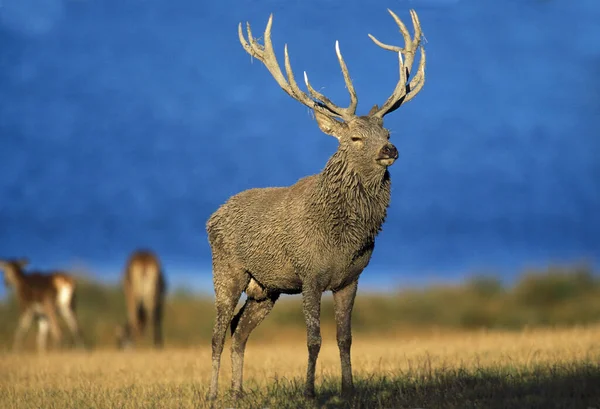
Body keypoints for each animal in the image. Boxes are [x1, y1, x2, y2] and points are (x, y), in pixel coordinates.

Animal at [206, 8, 426, 398]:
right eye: (355, 137)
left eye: (386, 132)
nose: (390, 149)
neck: (342, 236)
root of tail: (211, 217)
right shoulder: (309, 275)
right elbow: (313, 340)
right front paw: (310, 392)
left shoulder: (350, 279)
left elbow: (345, 339)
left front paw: (349, 390)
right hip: (227, 271)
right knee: (218, 333)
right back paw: (214, 393)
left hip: (266, 289)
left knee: (239, 331)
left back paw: (238, 391)